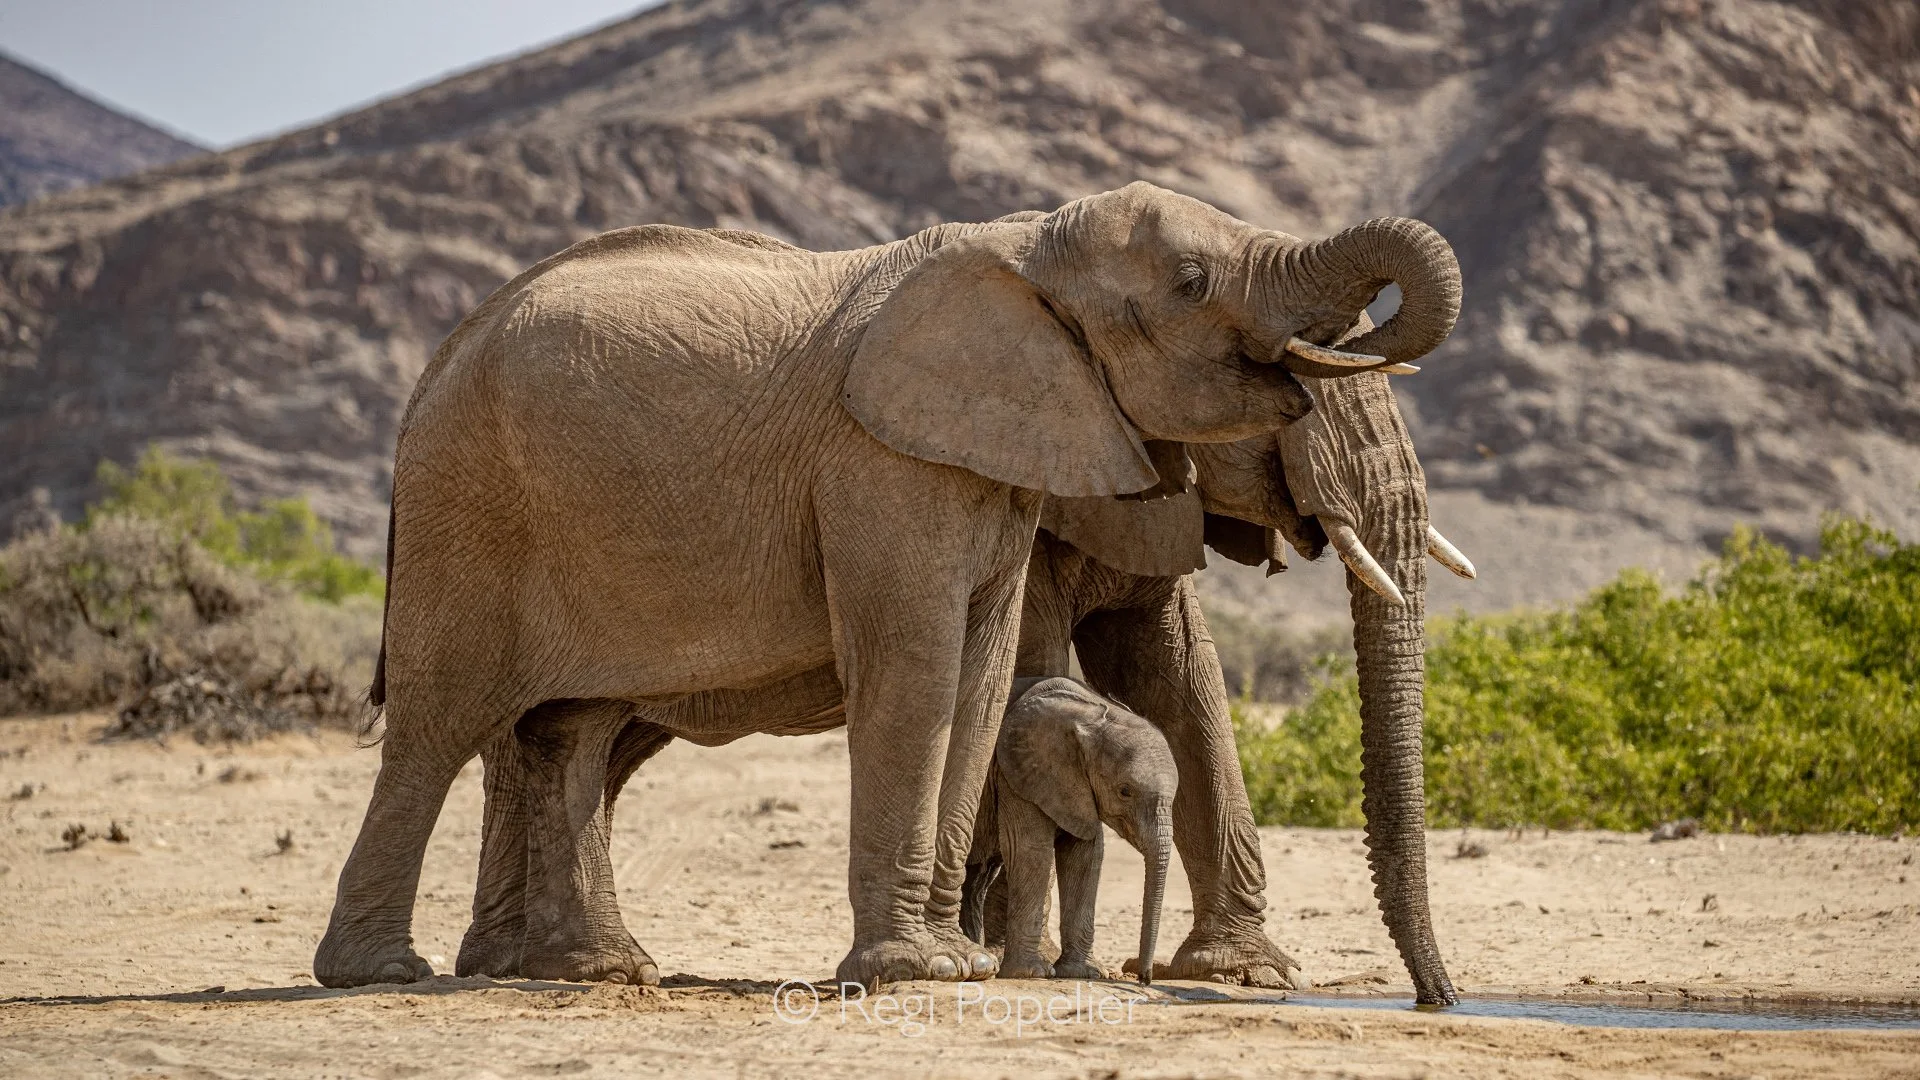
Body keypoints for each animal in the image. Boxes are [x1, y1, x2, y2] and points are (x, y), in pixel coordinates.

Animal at [960, 676, 1178, 985]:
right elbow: (1031, 850)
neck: (1092, 711)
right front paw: (1032, 973)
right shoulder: (1016, 772)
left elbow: (1085, 856)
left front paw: (1085, 973)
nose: (1144, 979)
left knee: (976, 879)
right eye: (1125, 791)